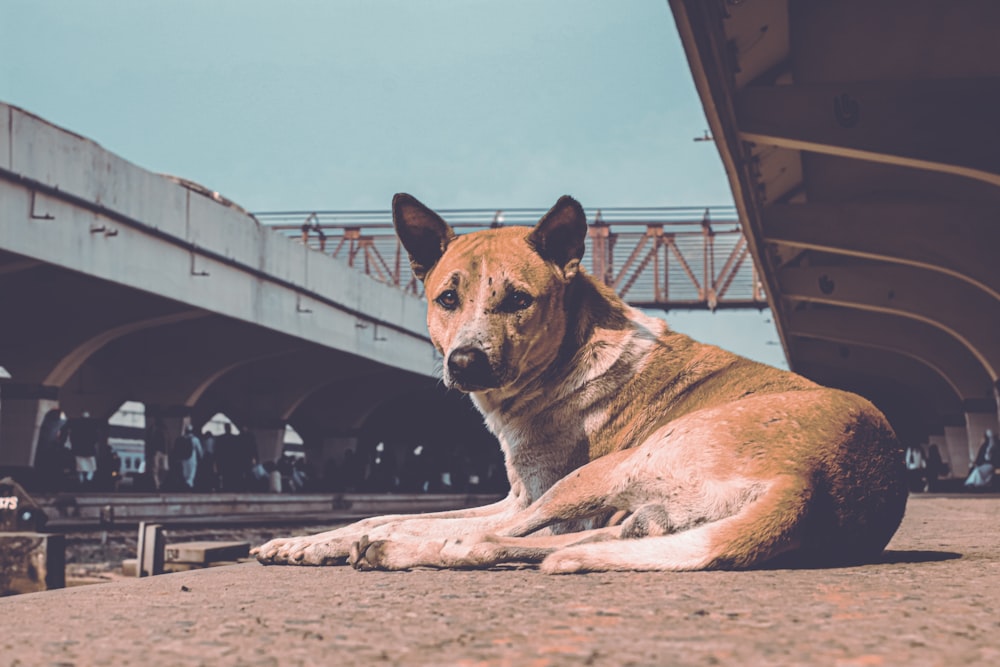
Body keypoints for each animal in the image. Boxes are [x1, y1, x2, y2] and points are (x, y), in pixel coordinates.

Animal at [254, 193, 912, 576]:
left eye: (518, 300)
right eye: (447, 298)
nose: (464, 361)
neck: (570, 353)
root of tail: (810, 483)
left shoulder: (531, 497)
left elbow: (420, 520)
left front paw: (367, 539)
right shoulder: (518, 493)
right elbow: (394, 513)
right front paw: (304, 541)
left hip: (603, 472)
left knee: (491, 538)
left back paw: (400, 552)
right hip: (629, 512)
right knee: (545, 545)